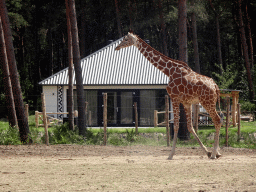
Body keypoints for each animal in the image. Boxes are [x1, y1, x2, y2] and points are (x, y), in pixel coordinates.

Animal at [115, 32, 223, 160]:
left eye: (126, 39)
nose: (116, 47)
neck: (168, 71)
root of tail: (215, 86)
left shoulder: (174, 98)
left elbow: (176, 126)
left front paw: (170, 154)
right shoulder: (186, 102)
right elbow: (190, 127)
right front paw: (207, 152)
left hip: (207, 102)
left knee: (217, 120)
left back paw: (215, 154)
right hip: (209, 102)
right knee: (217, 120)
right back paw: (216, 153)